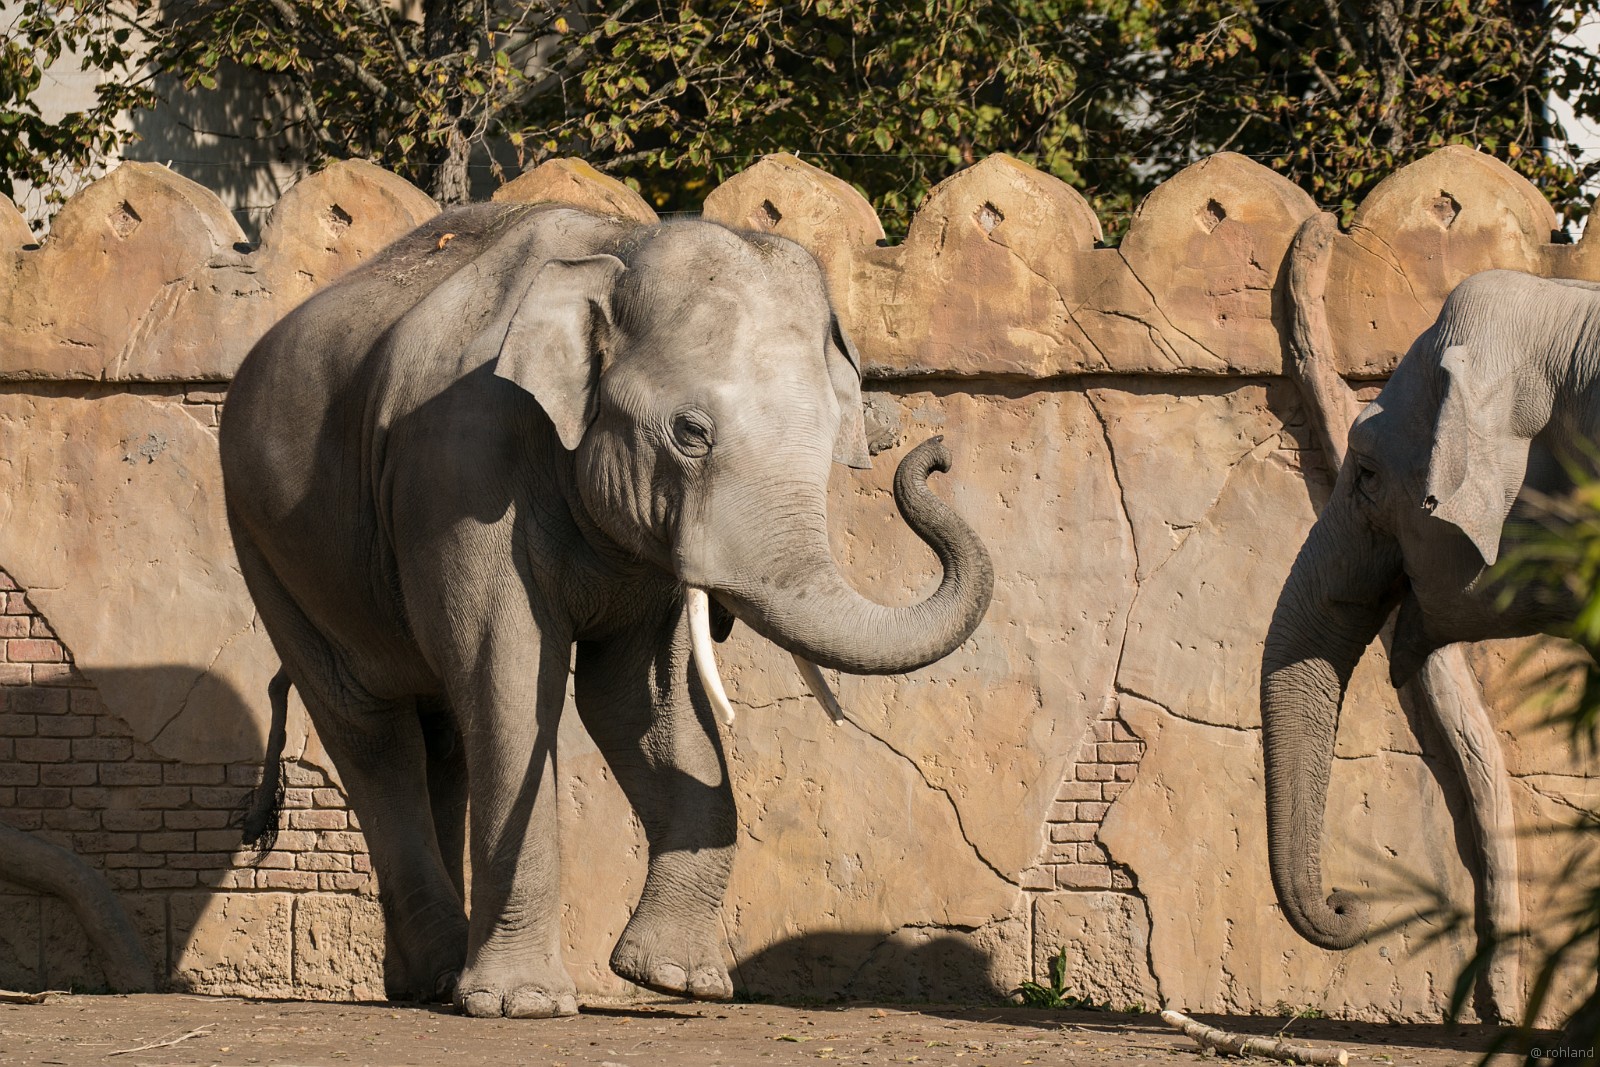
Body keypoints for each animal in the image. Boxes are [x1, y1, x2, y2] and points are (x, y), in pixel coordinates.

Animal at [218, 202, 994, 1017]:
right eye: (690, 433)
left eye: (828, 439)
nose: (936, 451)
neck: (614, 246)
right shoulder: (458, 468)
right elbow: (512, 679)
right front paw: (524, 1004)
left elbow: (635, 700)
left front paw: (677, 979)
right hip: (267, 546)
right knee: (370, 731)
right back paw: (441, 975)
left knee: (444, 736)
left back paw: (427, 986)